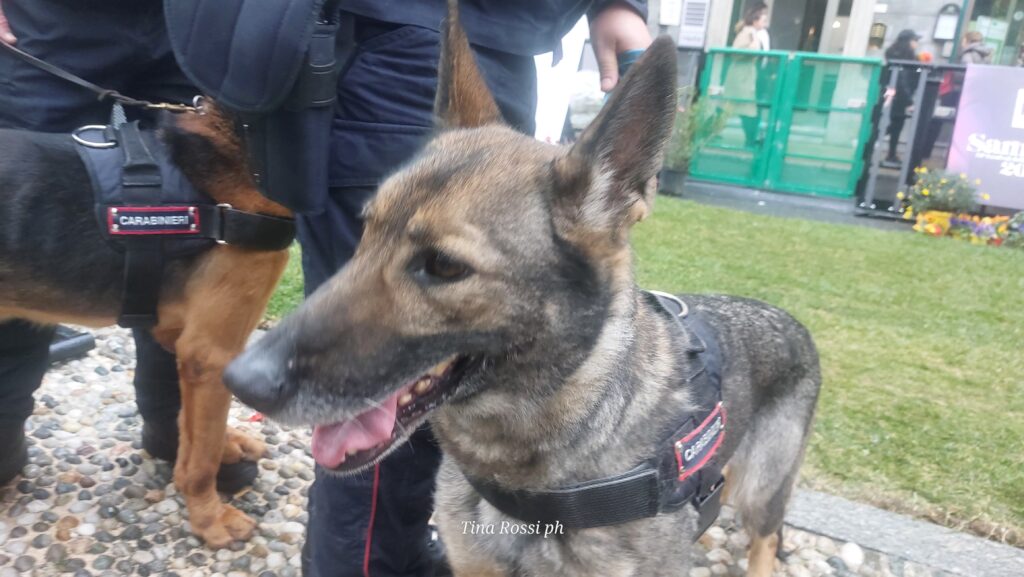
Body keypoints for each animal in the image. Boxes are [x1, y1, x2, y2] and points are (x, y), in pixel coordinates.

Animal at [1, 105, 288, 549]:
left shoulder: (181, 344)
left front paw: (224, 449)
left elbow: (192, 431)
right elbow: (201, 459)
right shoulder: (211, 353)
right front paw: (209, 518)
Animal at [226, 10, 823, 577]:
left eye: (443, 266)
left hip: (760, 491)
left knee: (766, 540)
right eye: (365, 230)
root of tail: (790, 320)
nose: (239, 381)